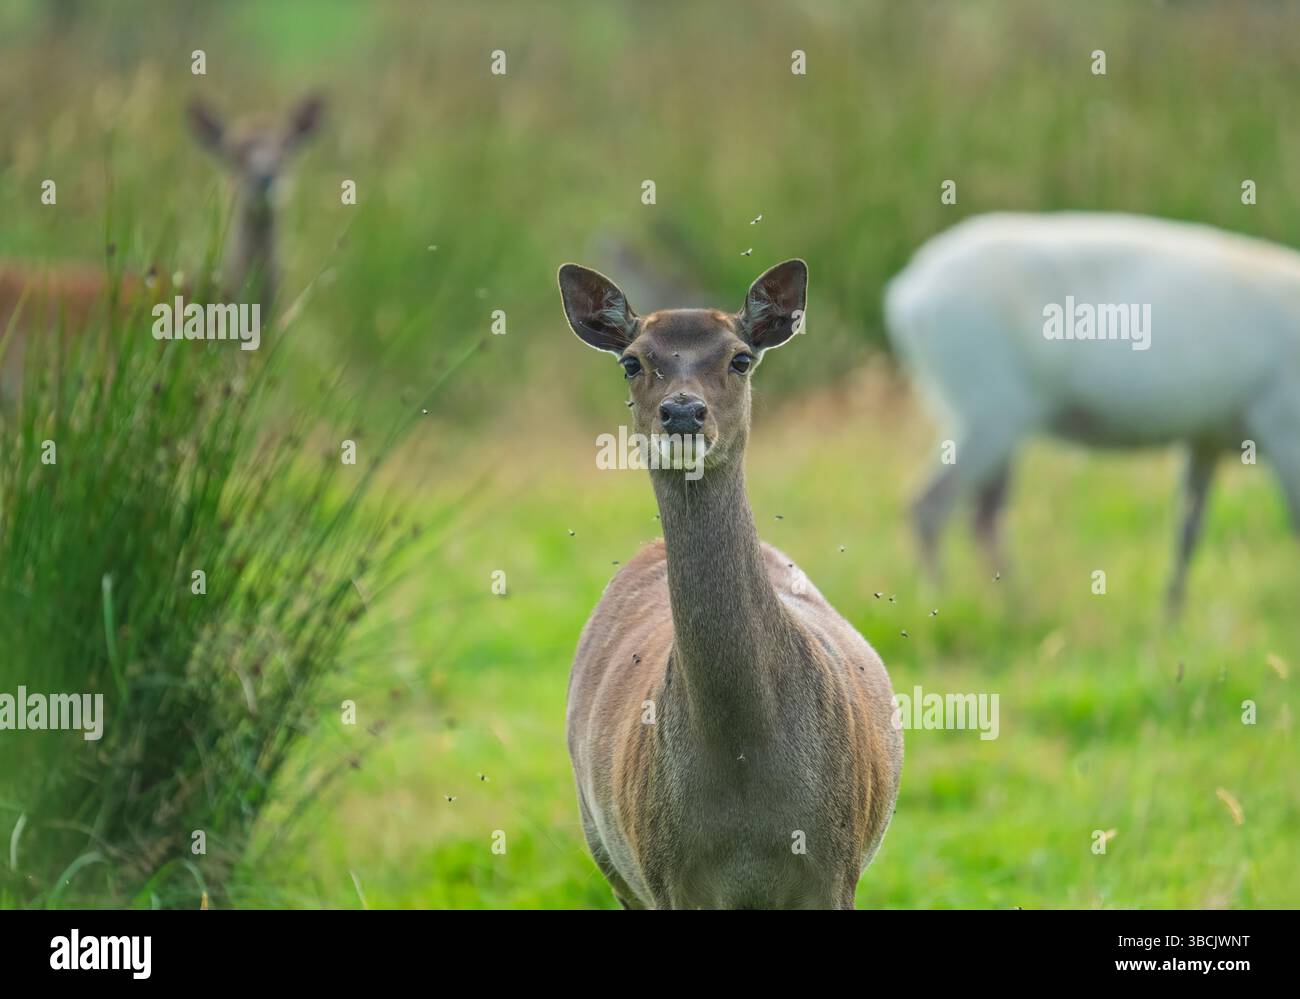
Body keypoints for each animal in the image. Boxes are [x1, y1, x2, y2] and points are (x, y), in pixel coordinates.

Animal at [559, 259, 903, 910]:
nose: (682, 413)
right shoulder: (666, 874)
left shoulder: (837, 867)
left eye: (740, 358)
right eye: (632, 362)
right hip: (606, 850)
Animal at [884, 211, 1300, 611]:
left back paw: (1016, 607)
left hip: (998, 421)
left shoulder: (1205, 440)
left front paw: (1169, 621)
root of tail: (909, 294)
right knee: (932, 506)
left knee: (983, 516)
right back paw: (946, 601)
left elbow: (1187, 534)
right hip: (990, 412)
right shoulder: (1283, 430)